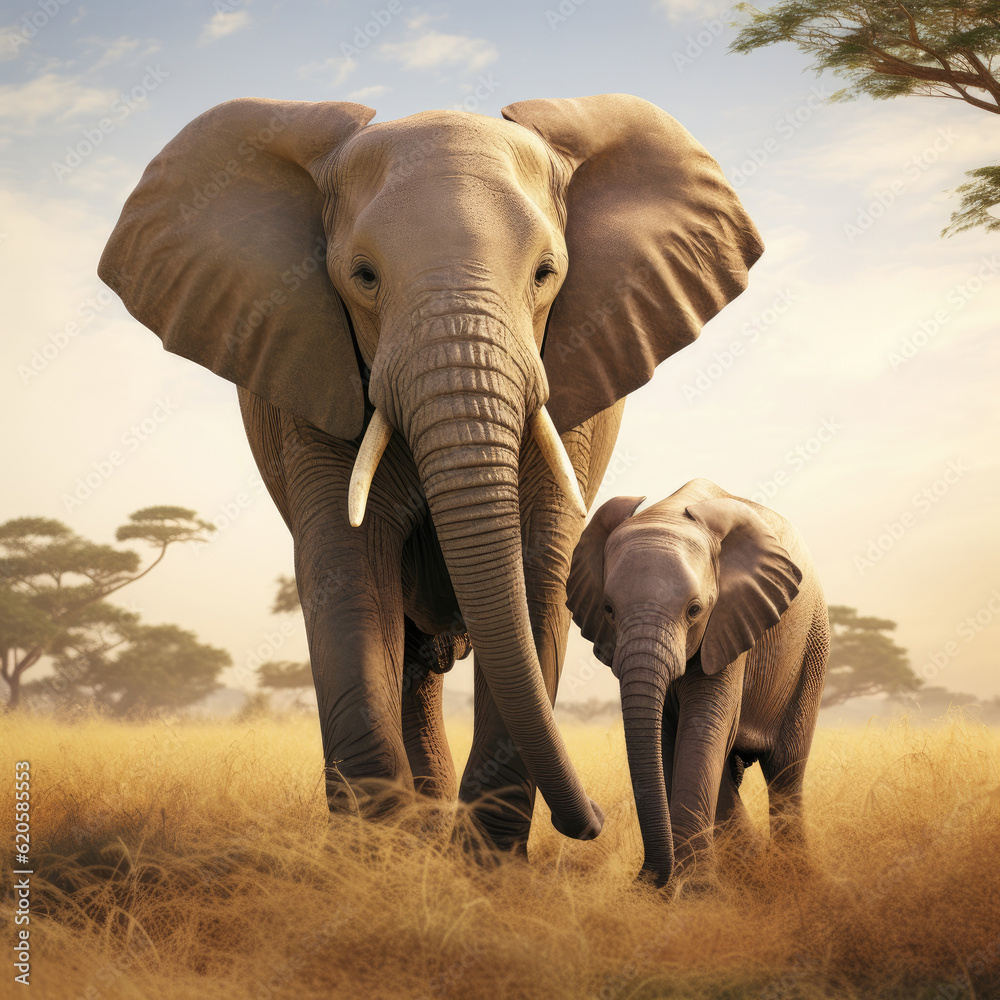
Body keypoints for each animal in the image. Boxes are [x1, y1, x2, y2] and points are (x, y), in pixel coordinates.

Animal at [98, 94, 763, 852]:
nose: (593, 820)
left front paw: (483, 867)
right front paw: (374, 857)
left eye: (546, 274)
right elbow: (348, 566)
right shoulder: (308, 366)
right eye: (363, 276)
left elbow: (538, 570)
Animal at [566, 479, 829, 886]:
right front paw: (666, 887)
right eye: (608, 609)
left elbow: (704, 724)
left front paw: (695, 889)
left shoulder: (730, 621)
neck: (670, 512)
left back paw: (792, 874)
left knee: (785, 768)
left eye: (694, 610)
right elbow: (666, 733)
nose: (642, 879)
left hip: (812, 647)